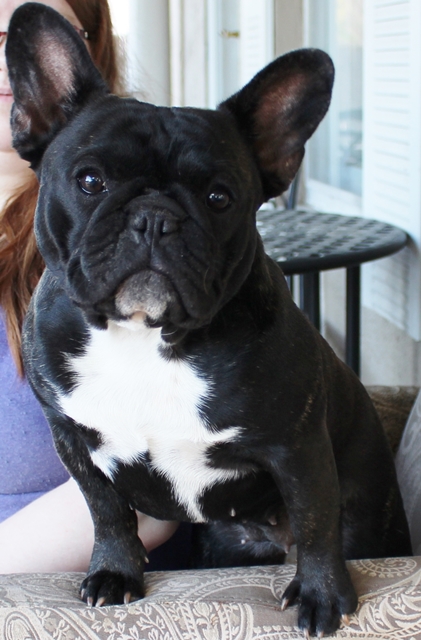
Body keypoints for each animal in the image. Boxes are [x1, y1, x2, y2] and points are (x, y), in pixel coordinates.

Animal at [7, 3, 412, 637]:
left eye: (220, 197)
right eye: (90, 180)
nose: (154, 217)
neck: (146, 336)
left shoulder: (298, 448)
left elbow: (316, 522)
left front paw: (322, 595)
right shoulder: (71, 436)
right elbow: (106, 509)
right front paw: (115, 573)